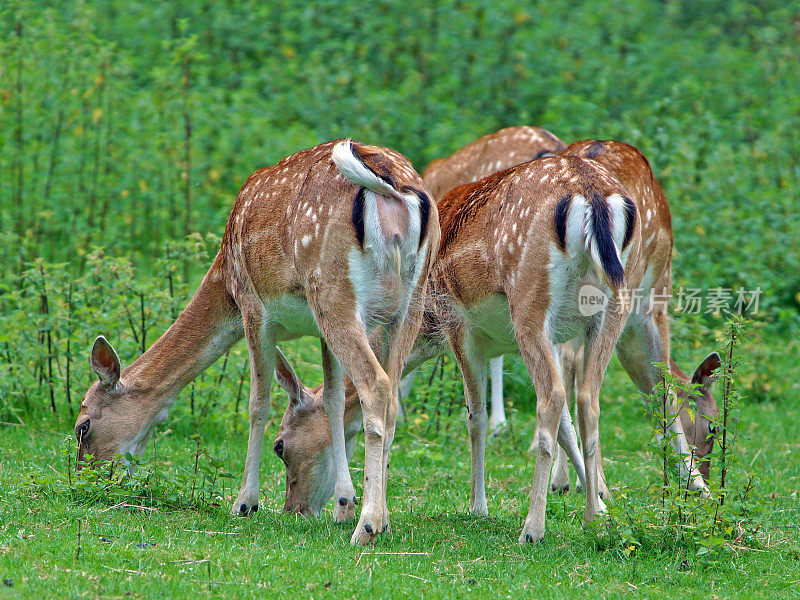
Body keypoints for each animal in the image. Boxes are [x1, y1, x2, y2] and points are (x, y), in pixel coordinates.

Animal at [72, 138, 440, 548]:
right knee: (391, 393)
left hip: (333, 288)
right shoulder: (317, 330)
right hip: (408, 302)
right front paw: (342, 503)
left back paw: (367, 527)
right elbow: (330, 400)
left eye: (83, 425)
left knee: (375, 385)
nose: (86, 481)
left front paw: (245, 503)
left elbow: (257, 403)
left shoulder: (253, 308)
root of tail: (392, 188)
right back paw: (384, 519)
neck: (225, 279)